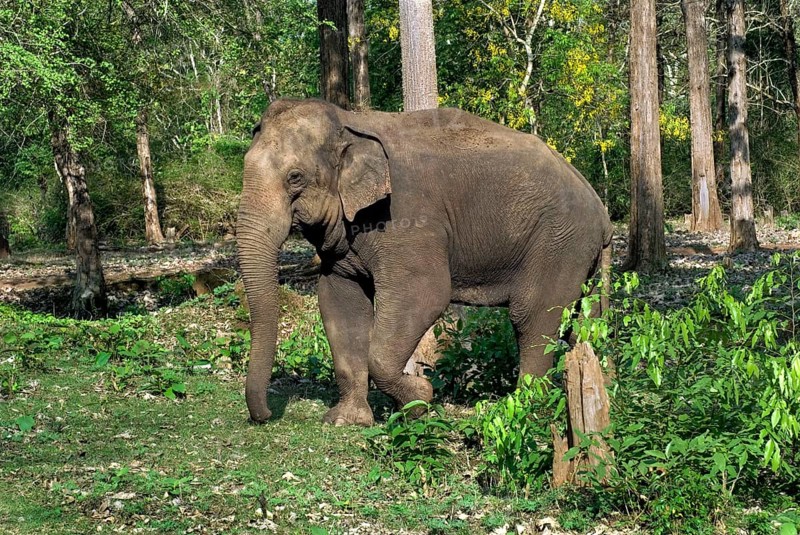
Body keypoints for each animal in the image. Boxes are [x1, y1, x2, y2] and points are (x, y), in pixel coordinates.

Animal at [237, 98, 613, 425]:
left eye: (295, 177)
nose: (266, 415)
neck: (350, 120)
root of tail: (602, 211)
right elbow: (339, 302)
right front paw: (345, 420)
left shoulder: (409, 218)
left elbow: (426, 294)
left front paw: (420, 400)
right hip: (580, 255)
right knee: (583, 320)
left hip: (560, 241)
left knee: (532, 316)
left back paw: (520, 410)